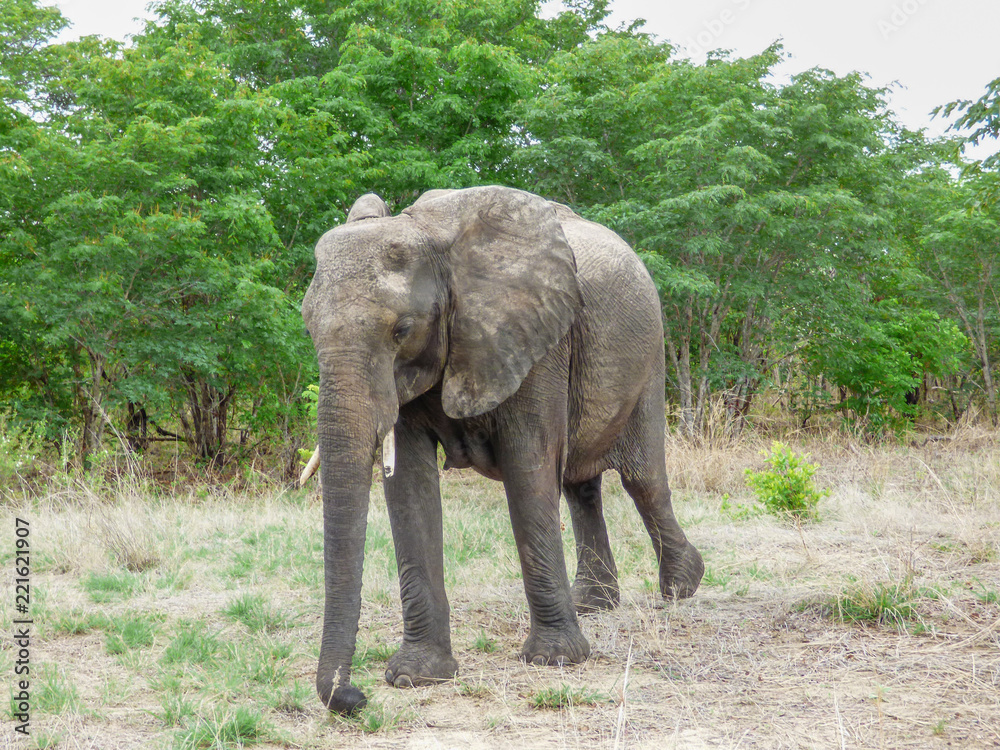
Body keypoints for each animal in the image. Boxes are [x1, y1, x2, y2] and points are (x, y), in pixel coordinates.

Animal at [302, 185, 704, 712]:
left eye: (402, 330)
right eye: (308, 326)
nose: (354, 696)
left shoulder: (537, 339)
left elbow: (528, 467)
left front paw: (556, 660)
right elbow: (408, 489)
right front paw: (416, 676)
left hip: (649, 353)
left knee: (642, 480)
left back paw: (681, 588)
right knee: (580, 485)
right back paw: (592, 604)